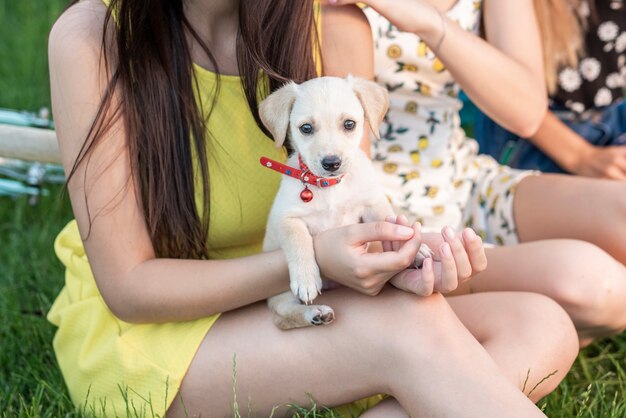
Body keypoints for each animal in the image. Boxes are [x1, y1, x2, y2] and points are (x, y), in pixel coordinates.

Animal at [258, 75, 428, 330]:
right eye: (306, 128)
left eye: (349, 124)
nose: (331, 163)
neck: (330, 187)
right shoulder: (285, 218)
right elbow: (298, 239)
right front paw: (306, 278)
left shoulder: (371, 204)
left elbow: (392, 222)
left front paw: (417, 248)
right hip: (280, 295)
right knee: (284, 315)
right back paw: (314, 313)